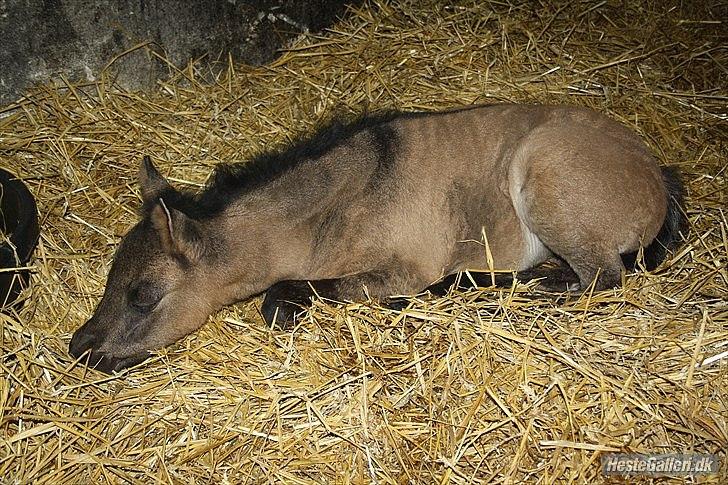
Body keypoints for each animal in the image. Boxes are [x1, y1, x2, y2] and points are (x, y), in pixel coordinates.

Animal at [68, 104, 684, 372]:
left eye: (142, 296)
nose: (82, 347)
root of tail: (657, 184)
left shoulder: (400, 268)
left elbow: (294, 295)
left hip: (544, 176)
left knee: (599, 276)